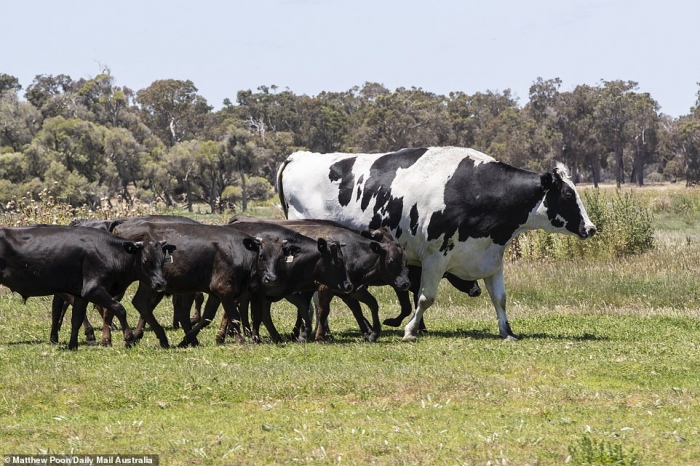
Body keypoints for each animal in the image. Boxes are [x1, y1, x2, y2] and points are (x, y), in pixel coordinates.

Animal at [278, 146, 596, 338]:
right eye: (568, 195)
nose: (590, 228)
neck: (475, 188)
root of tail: (300, 156)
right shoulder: (434, 257)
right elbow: (424, 297)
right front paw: (409, 330)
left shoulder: (490, 257)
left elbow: (500, 298)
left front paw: (507, 332)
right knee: (314, 294)